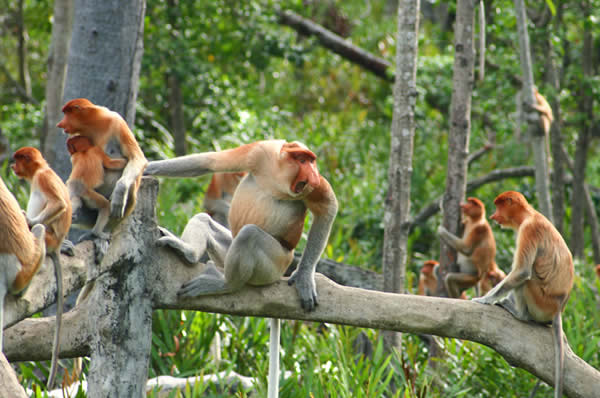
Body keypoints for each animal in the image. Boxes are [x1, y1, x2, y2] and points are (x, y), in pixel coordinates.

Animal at [11, 147, 73, 388]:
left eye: (17, 160)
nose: (12, 166)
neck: (40, 169)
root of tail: (55, 245)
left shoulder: (43, 178)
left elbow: (58, 204)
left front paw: (27, 220)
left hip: (47, 236)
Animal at [145, 140, 338, 398]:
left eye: (312, 161)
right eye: (302, 160)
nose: (313, 174)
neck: (280, 174)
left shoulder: (311, 187)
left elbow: (327, 207)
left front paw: (304, 277)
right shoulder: (260, 152)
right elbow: (209, 162)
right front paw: (141, 170)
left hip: (274, 262)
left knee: (249, 235)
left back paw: (225, 283)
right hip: (227, 251)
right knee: (204, 219)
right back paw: (189, 252)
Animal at [474, 191, 572, 396]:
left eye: (498, 206)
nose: (493, 216)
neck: (529, 214)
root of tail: (558, 308)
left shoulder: (529, 230)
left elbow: (522, 272)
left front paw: (484, 299)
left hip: (540, 301)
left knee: (527, 280)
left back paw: (519, 313)